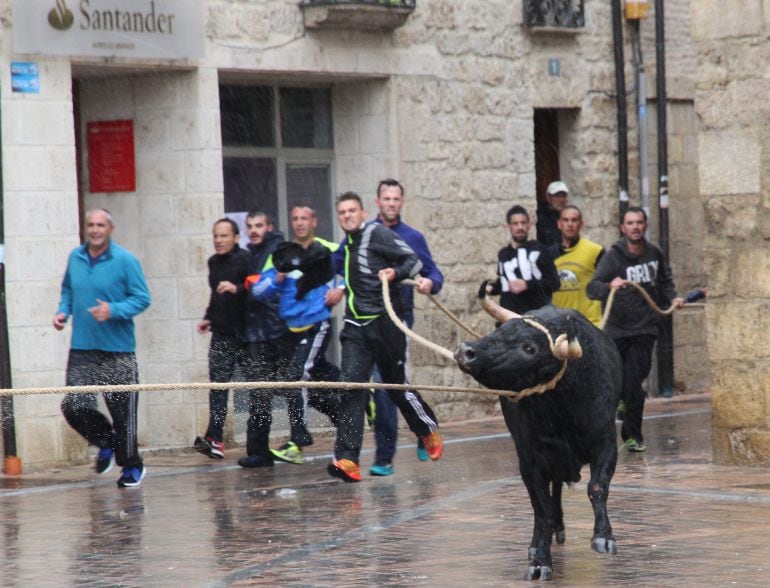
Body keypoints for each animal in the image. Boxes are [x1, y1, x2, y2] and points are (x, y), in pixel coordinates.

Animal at [452, 306, 620, 580]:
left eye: (529, 348)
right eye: (499, 330)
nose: (465, 351)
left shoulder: (606, 443)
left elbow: (596, 487)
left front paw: (603, 537)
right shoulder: (530, 459)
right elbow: (541, 510)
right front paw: (539, 561)